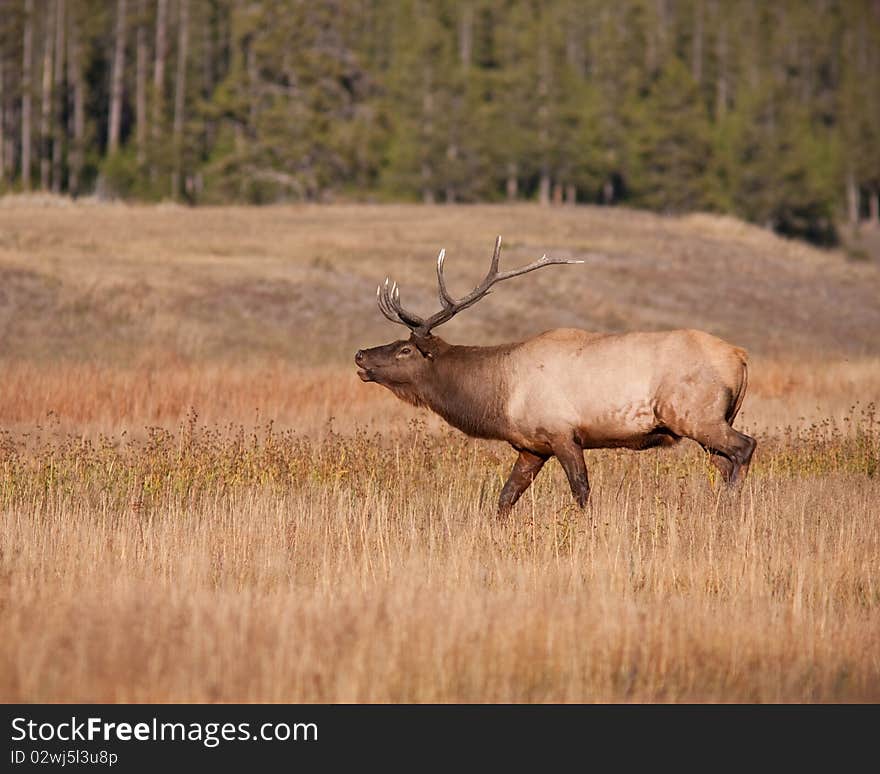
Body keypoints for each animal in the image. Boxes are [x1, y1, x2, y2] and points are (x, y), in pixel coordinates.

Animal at [354, 236, 752, 516]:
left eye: (405, 350)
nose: (360, 354)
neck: (500, 397)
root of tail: (741, 357)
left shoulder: (562, 432)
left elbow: (582, 491)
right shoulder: (531, 446)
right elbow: (504, 499)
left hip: (697, 415)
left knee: (745, 448)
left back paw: (731, 508)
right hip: (710, 422)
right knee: (724, 462)